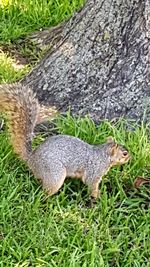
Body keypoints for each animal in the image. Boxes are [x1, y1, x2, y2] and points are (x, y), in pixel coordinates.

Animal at [0, 84, 131, 199]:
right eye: (124, 154)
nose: (131, 158)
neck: (103, 155)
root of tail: (31, 159)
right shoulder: (94, 171)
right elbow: (91, 184)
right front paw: (99, 196)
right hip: (54, 173)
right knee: (45, 191)